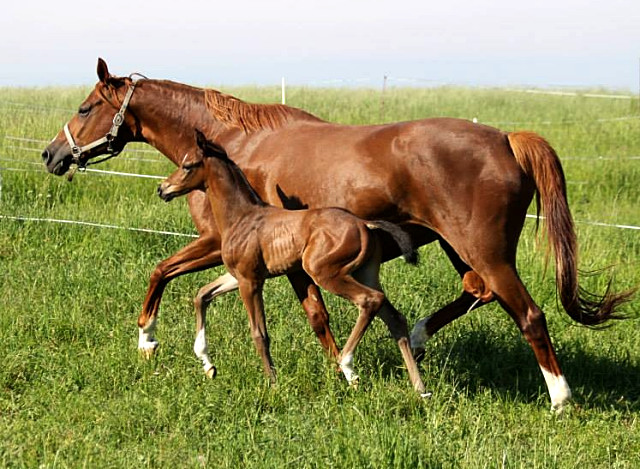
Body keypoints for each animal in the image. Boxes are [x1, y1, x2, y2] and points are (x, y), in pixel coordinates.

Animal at [158, 130, 428, 394]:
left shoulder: (249, 281)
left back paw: (348, 367)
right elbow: (202, 295)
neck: (242, 217)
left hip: (326, 273)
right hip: (366, 273)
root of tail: (365, 224)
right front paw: (207, 364)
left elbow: (259, 333)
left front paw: (273, 384)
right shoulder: (239, 276)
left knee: (370, 300)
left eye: (188, 165)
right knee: (395, 317)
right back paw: (421, 390)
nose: (163, 189)